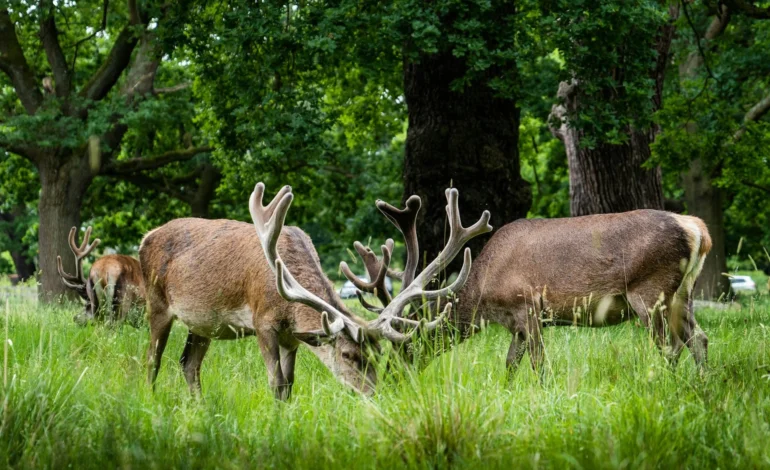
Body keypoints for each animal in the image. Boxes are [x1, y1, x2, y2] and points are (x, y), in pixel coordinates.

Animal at [138, 182, 490, 399]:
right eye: (347, 355)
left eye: (378, 355)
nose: (374, 395)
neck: (288, 305)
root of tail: (145, 237)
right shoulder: (262, 321)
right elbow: (275, 382)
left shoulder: (292, 337)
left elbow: (289, 385)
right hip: (157, 304)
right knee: (152, 361)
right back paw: (151, 401)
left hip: (203, 324)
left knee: (188, 364)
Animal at [344, 195, 711, 376]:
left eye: (403, 348)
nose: (391, 378)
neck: (483, 294)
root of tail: (697, 229)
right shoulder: (515, 324)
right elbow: (509, 365)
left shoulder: (527, 307)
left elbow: (539, 366)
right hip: (683, 294)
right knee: (699, 339)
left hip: (650, 291)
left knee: (671, 347)